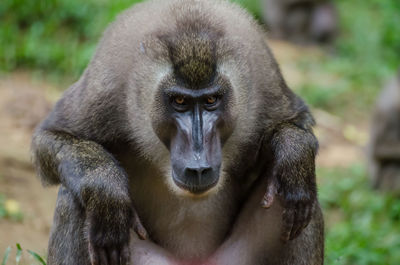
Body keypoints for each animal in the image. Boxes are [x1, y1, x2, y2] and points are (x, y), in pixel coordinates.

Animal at [31, 1, 324, 262]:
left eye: (211, 100)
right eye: (180, 101)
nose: (198, 166)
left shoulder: (263, 75)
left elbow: (297, 122)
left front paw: (293, 152)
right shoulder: (106, 86)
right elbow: (51, 137)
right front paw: (106, 191)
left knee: (301, 195)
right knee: (73, 198)